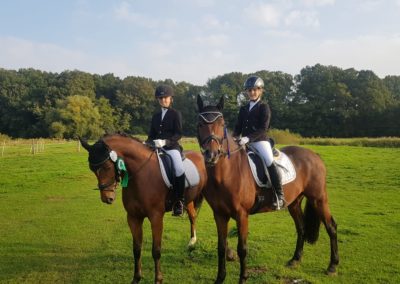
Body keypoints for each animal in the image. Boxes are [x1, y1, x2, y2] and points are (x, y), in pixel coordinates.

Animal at [80, 134, 208, 284]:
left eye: (106, 166)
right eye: (92, 169)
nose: (107, 198)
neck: (141, 175)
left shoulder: (156, 218)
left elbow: (156, 250)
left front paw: (158, 279)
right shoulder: (133, 217)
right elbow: (136, 249)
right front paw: (136, 278)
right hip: (188, 199)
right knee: (192, 216)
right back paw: (192, 242)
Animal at [196, 96, 338, 284]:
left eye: (222, 123)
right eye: (199, 124)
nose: (211, 155)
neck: (226, 173)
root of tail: (314, 155)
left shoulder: (242, 214)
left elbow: (242, 249)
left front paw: (243, 278)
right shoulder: (219, 214)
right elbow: (221, 247)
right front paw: (219, 279)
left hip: (318, 199)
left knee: (331, 227)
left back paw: (332, 266)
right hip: (294, 202)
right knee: (301, 228)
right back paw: (295, 260)